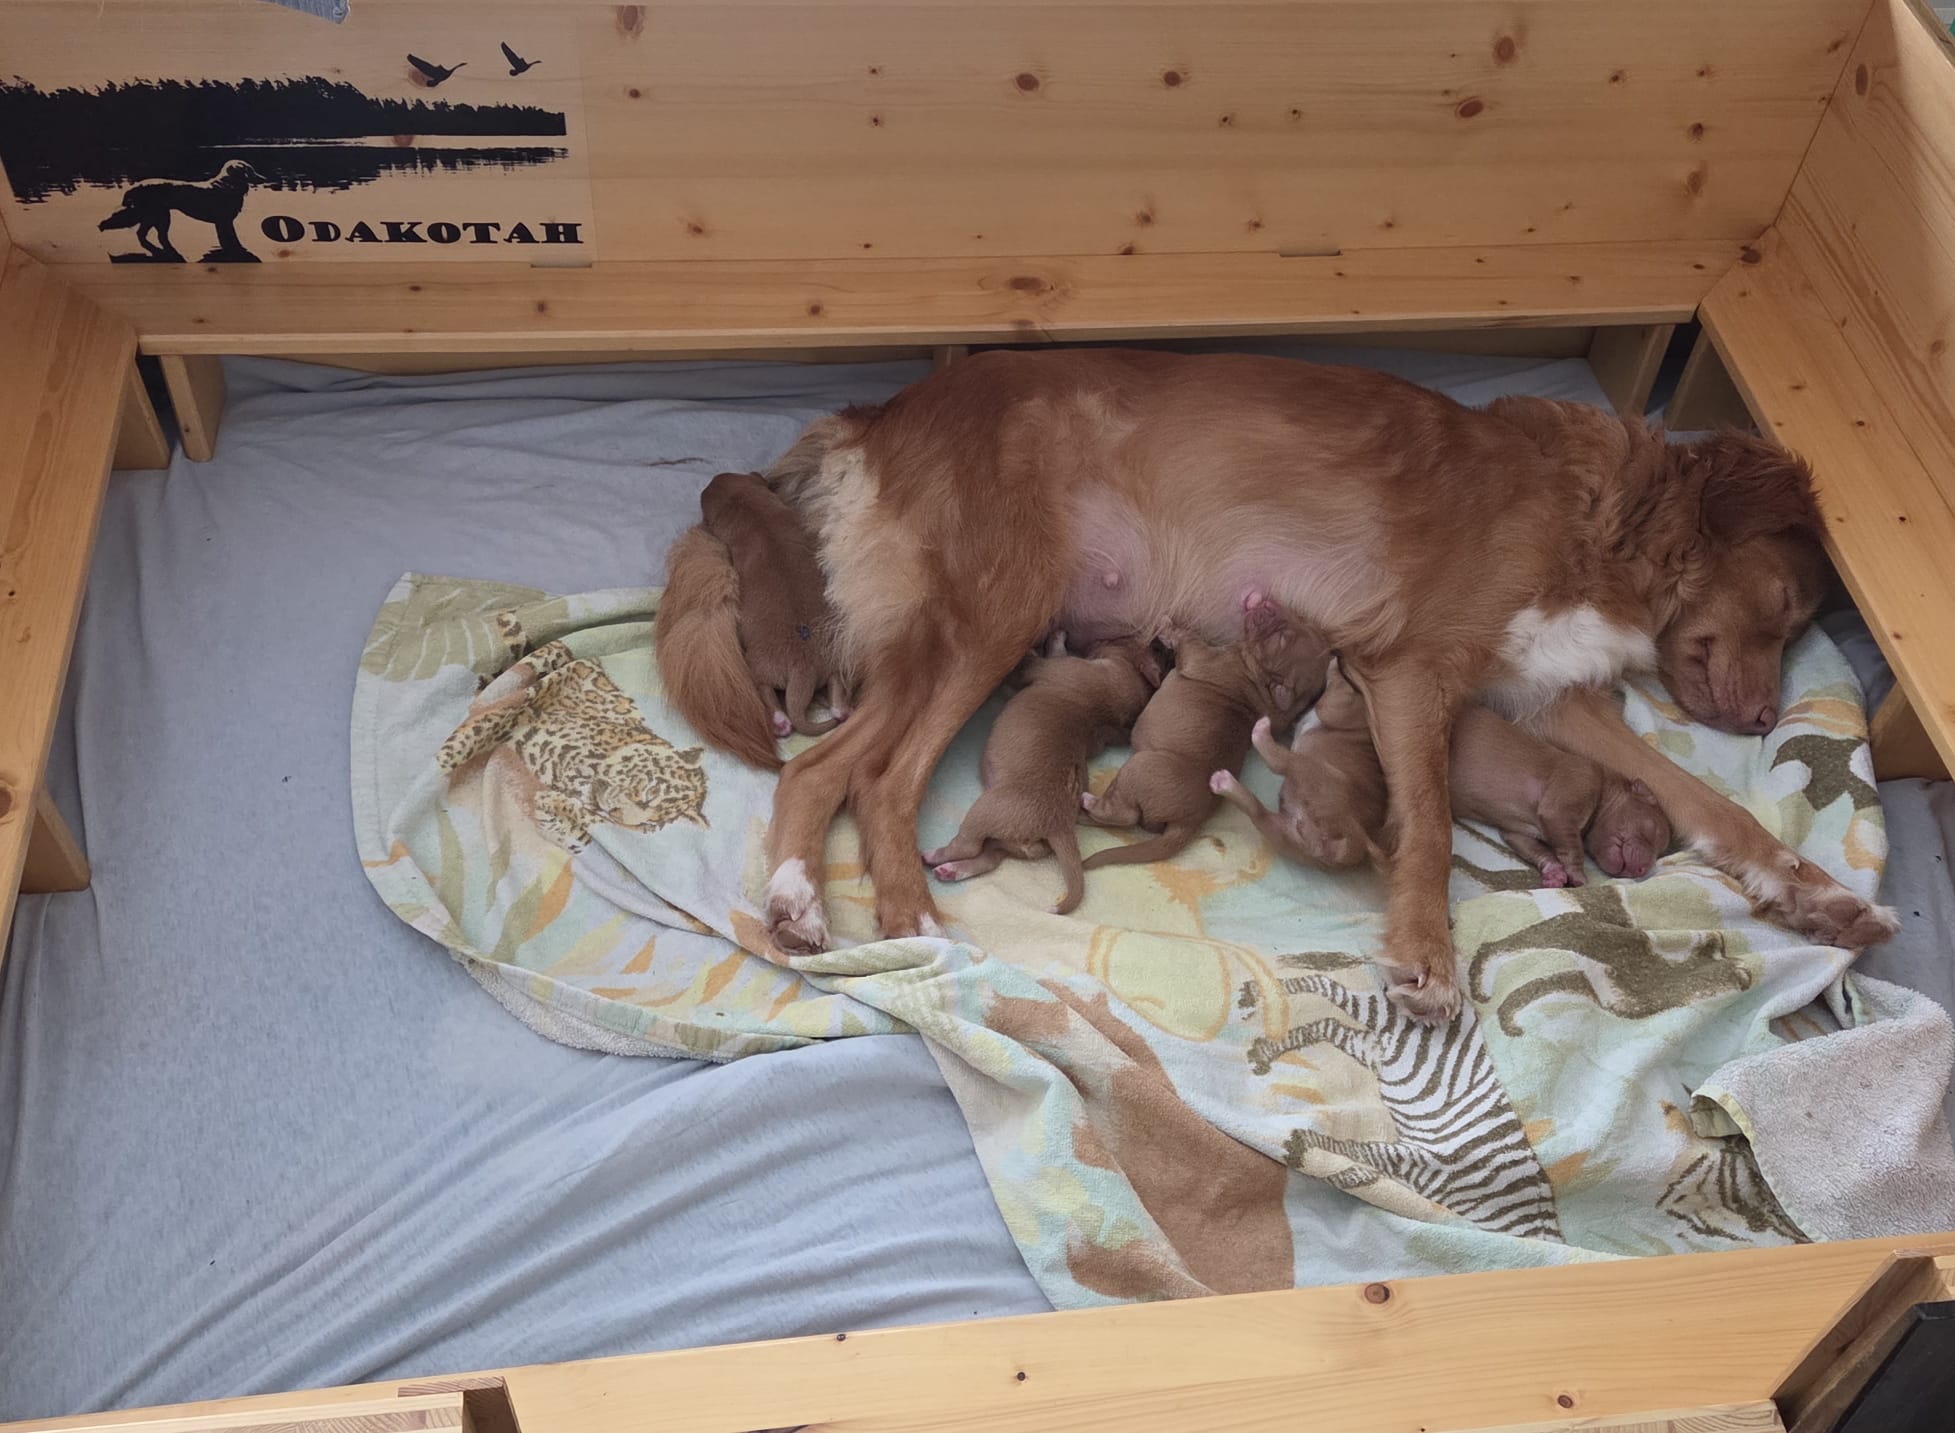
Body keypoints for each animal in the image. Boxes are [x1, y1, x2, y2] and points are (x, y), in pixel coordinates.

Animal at [99, 159, 261, 262]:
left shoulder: (224, 222)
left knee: (144, 235)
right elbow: (229, 239)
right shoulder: (223, 221)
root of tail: (135, 188)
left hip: (154, 216)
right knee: (155, 235)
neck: (227, 185)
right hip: (158, 216)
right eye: (251, 170)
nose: (262, 177)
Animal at [922, 636, 1161, 913]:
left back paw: (934, 856)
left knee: (967, 846)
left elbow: (1043, 659)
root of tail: (1059, 826)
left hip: (986, 810)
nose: (1095, 641)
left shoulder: (1052, 668)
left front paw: (1049, 641)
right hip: (1006, 841)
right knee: (988, 859)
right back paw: (951, 871)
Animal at [1080, 600, 1331, 869]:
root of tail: (1189, 822)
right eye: (1301, 619)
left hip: (1141, 766)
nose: (1268, 603)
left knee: (1124, 815)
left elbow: (1188, 637)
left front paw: (1169, 625)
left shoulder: (1200, 655)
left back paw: (1089, 802)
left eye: (1281, 638)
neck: (1258, 678)